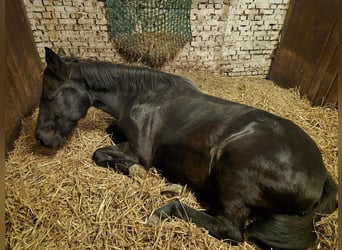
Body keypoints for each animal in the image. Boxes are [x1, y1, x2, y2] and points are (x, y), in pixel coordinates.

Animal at [35, 47, 336, 249]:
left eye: (49, 96)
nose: (40, 138)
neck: (141, 96)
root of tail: (321, 176)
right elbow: (110, 133)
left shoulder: (139, 151)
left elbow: (99, 153)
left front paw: (136, 172)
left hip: (234, 168)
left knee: (229, 228)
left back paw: (166, 208)